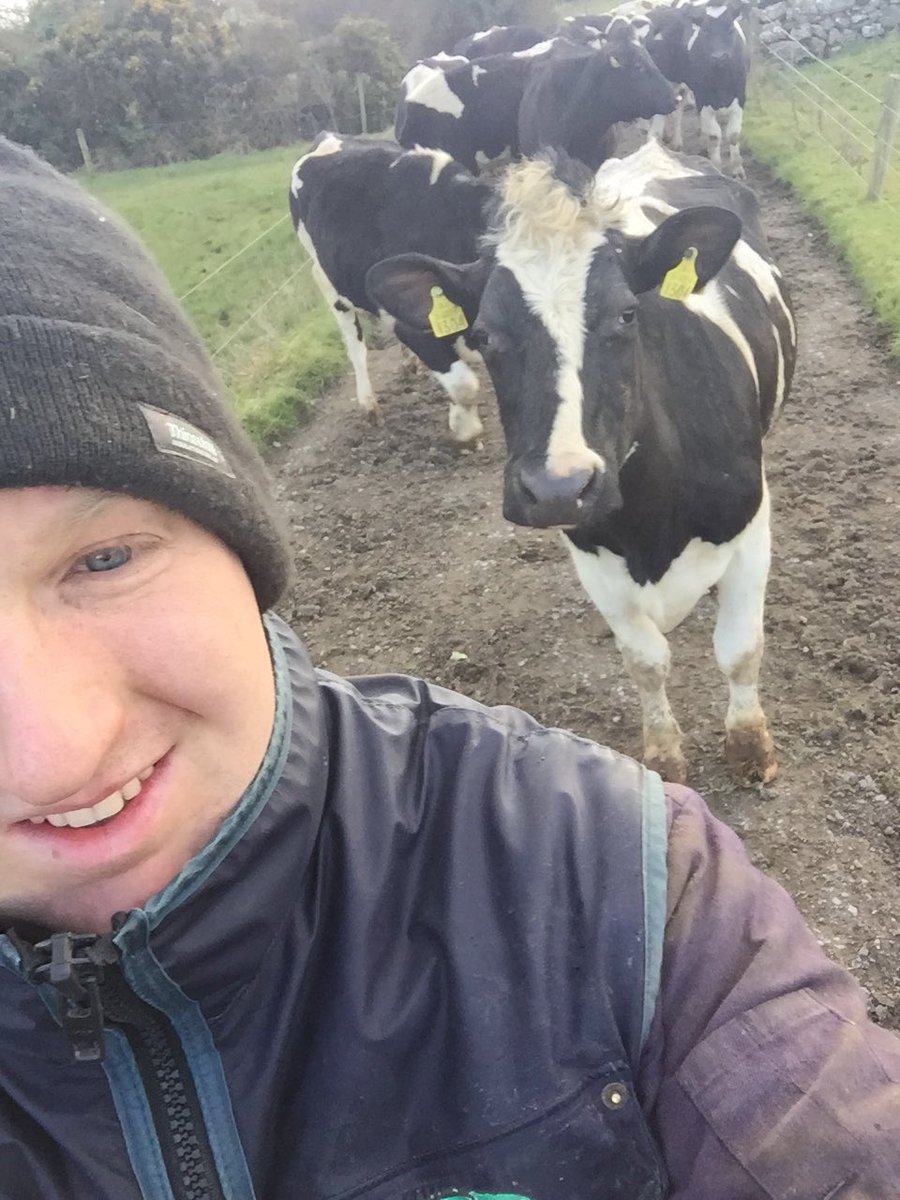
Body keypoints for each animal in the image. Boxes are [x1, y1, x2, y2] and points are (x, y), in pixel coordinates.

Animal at [289, 133, 491, 444]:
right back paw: (368, 405)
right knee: (355, 346)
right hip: (328, 281)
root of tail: (329, 136)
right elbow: (464, 385)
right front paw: (463, 428)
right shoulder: (415, 329)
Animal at [367, 141, 797, 785]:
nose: (556, 486)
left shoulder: (750, 526)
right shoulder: (591, 551)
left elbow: (739, 649)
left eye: (627, 313)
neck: (650, 520)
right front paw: (664, 759)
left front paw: (750, 749)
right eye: (484, 335)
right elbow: (645, 660)